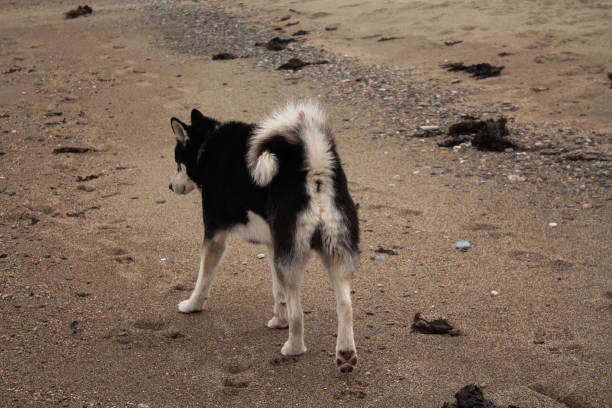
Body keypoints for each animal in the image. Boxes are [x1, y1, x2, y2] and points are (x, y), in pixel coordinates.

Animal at [167, 99, 358, 372]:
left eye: (178, 163)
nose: (170, 186)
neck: (208, 144)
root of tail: (314, 168)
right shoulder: (272, 246)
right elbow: (277, 292)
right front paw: (279, 321)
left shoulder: (214, 236)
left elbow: (203, 279)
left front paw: (192, 305)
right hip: (331, 253)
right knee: (345, 306)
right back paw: (345, 354)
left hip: (295, 255)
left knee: (298, 313)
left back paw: (293, 348)